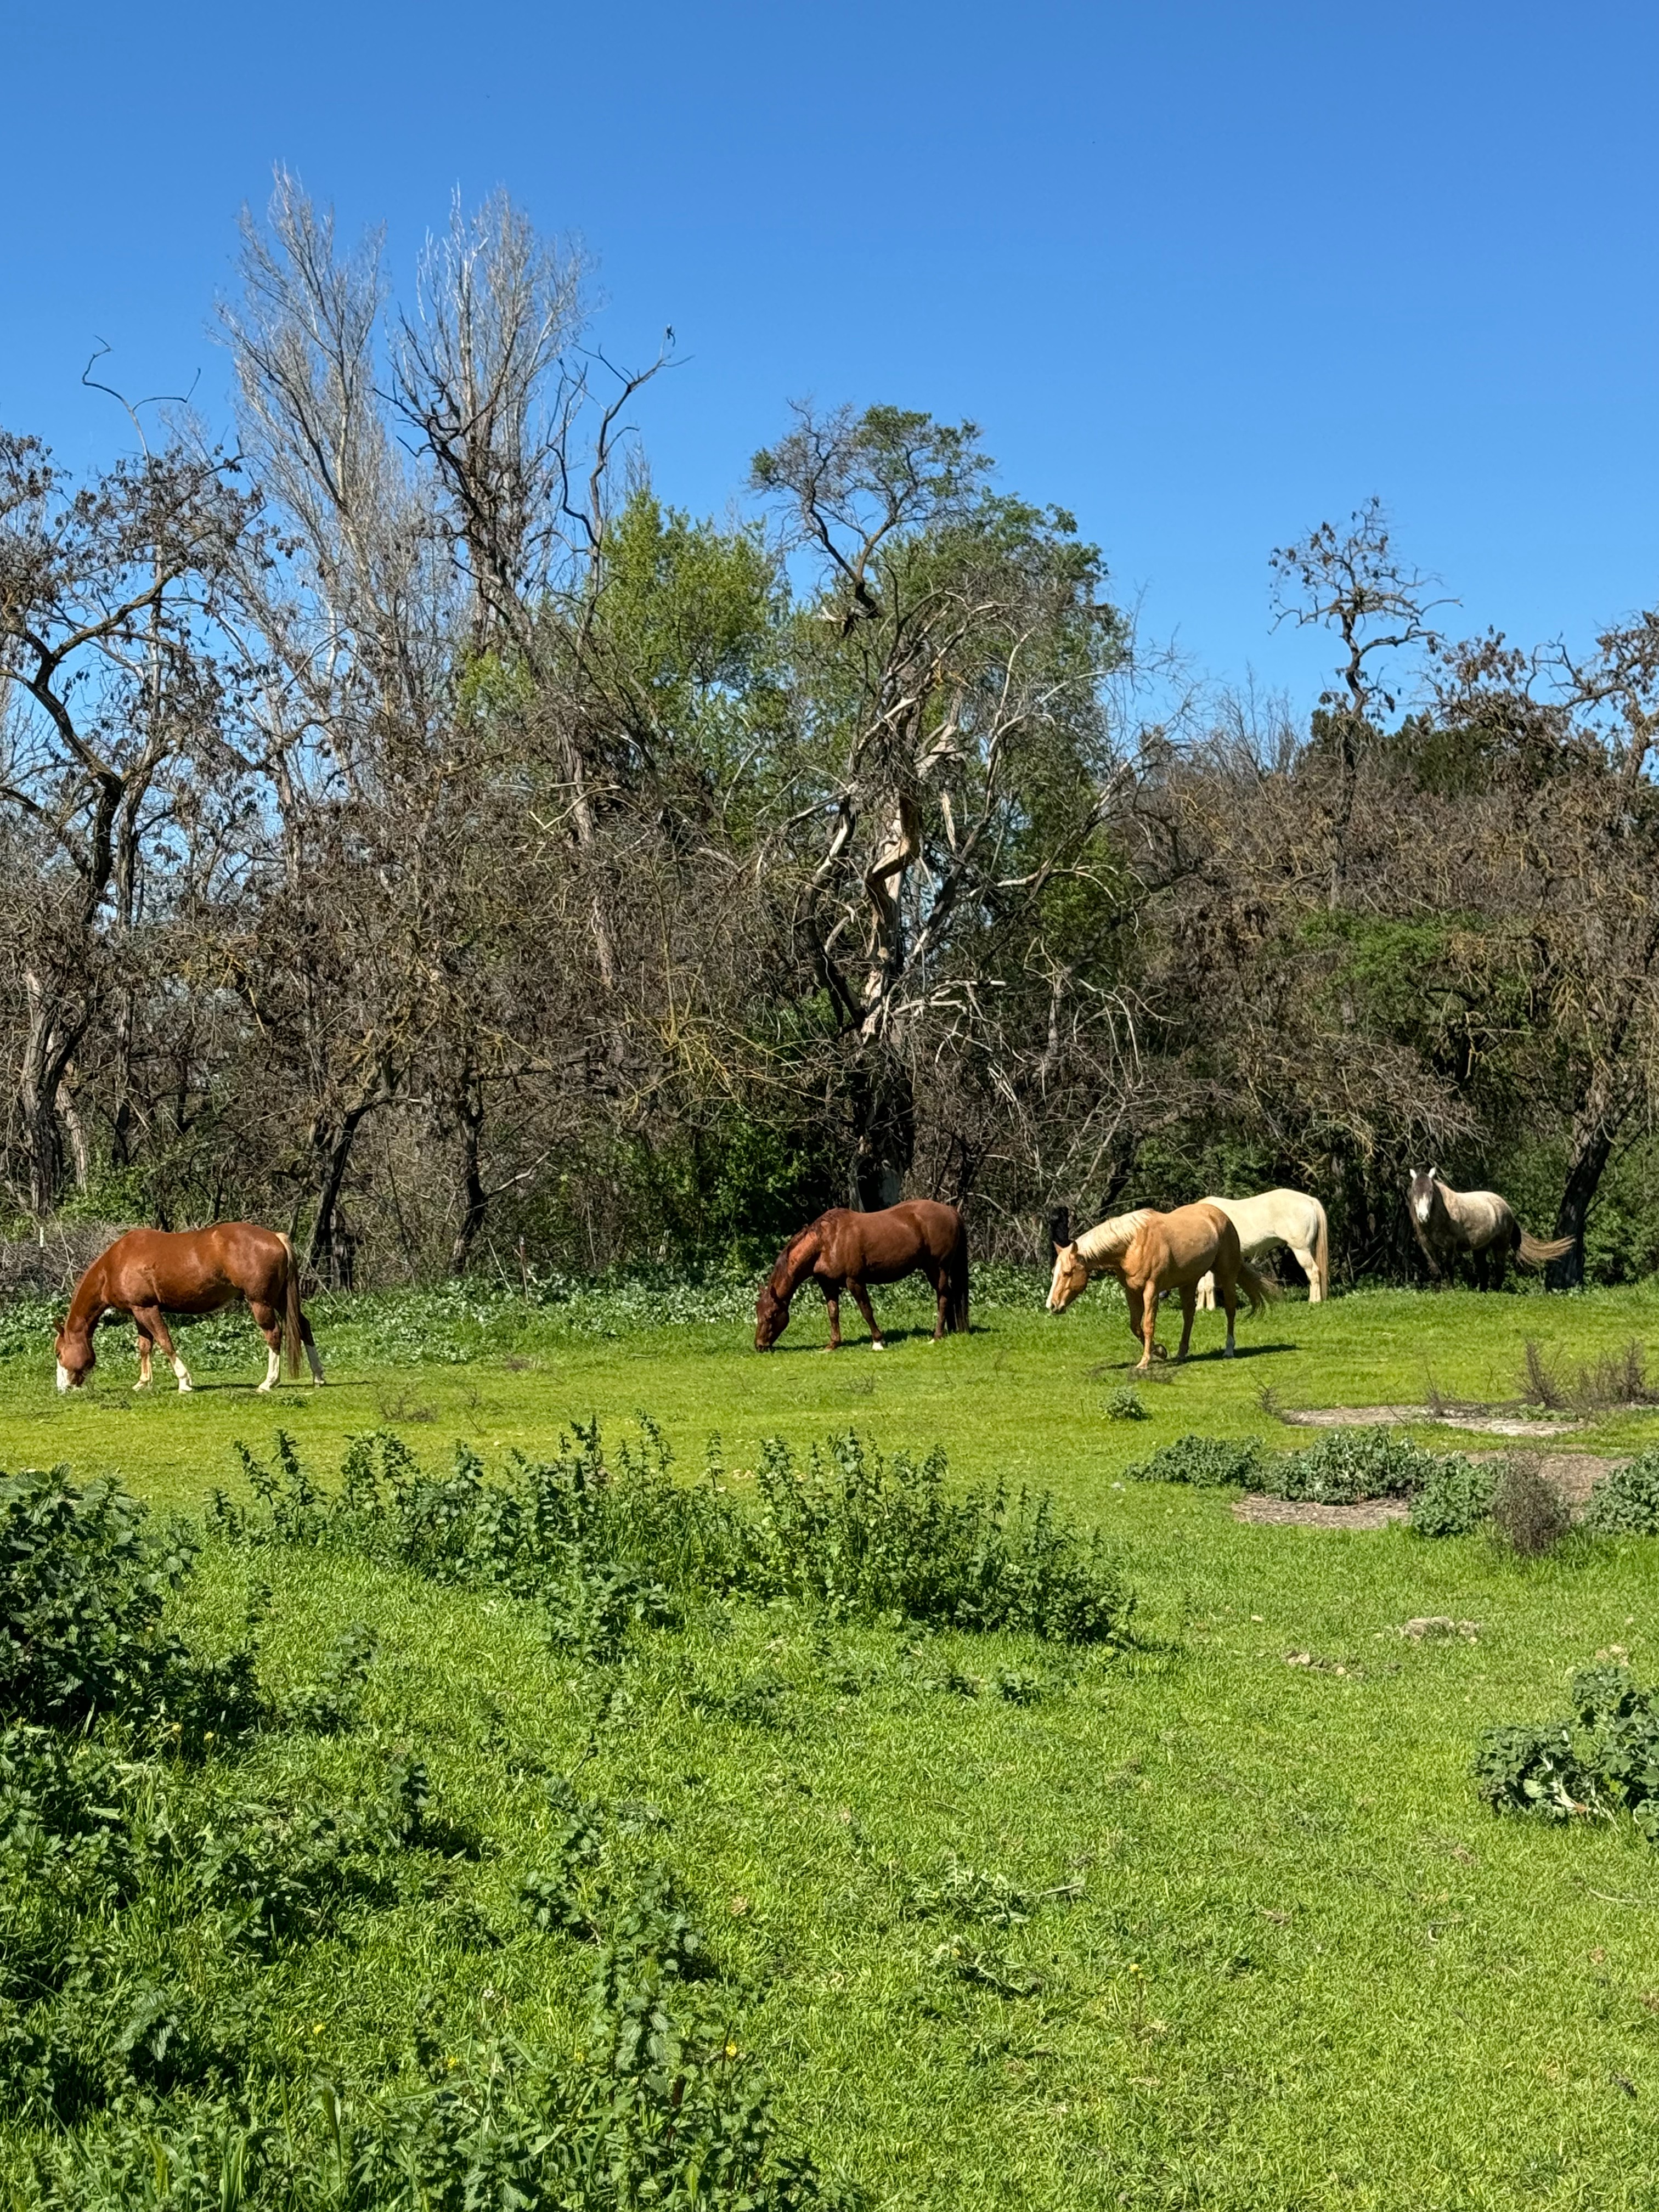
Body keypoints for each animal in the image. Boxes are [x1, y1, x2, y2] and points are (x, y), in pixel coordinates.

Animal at [54, 1224, 325, 1394]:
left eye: (58, 1353)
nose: (62, 1388)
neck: (116, 1263)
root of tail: (275, 1237)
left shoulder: (148, 1309)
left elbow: (165, 1342)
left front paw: (184, 1381)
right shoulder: (138, 1312)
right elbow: (145, 1347)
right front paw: (143, 1383)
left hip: (261, 1302)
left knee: (274, 1335)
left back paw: (269, 1382)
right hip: (281, 1300)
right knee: (303, 1326)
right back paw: (318, 1376)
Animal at [754, 1201, 968, 1351]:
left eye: (771, 1315)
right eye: (758, 1313)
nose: (759, 1345)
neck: (826, 1242)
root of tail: (951, 1211)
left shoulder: (855, 1282)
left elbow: (866, 1311)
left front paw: (878, 1342)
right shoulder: (828, 1285)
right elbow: (833, 1313)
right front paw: (832, 1344)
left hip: (937, 1268)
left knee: (943, 1296)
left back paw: (937, 1335)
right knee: (948, 1295)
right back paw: (949, 1330)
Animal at [1047, 1202, 1274, 1372]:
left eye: (1067, 1273)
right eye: (1054, 1273)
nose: (1052, 1305)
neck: (1132, 1244)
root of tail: (1219, 1216)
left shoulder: (1151, 1290)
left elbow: (1148, 1325)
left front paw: (1145, 1362)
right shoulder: (1131, 1292)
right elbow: (1135, 1326)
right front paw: (1161, 1352)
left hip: (1226, 1276)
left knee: (1230, 1311)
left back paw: (1229, 1349)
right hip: (1189, 1282)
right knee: (1189, 1315)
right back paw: (1181, 1354)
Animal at [1195, 1187, 1329, 1308]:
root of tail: (1310, 1200)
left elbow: (1208, 1285)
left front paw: (1210, 1309)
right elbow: (1201, 1286)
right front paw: (1200, 1309)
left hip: (1301, 1250)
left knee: (1313, 1272)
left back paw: (1314, 1301)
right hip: (1309, 1249)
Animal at [1407, 1169, 1573, 1290]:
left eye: (1431, 1192)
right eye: (1414, 1192)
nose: (1423, 1216)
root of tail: (1507, 1209)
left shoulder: (1450, 1245)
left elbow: (1449, 1268)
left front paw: (1450, 1290)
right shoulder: (1427, 1246)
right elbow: (1435, 1270)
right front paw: (1437, 1291)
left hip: (1500, 1246)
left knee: (1499, 1269)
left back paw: (1496, 1290)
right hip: (1481, 1249)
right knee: (1484, 1271)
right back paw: (1483, 1290)